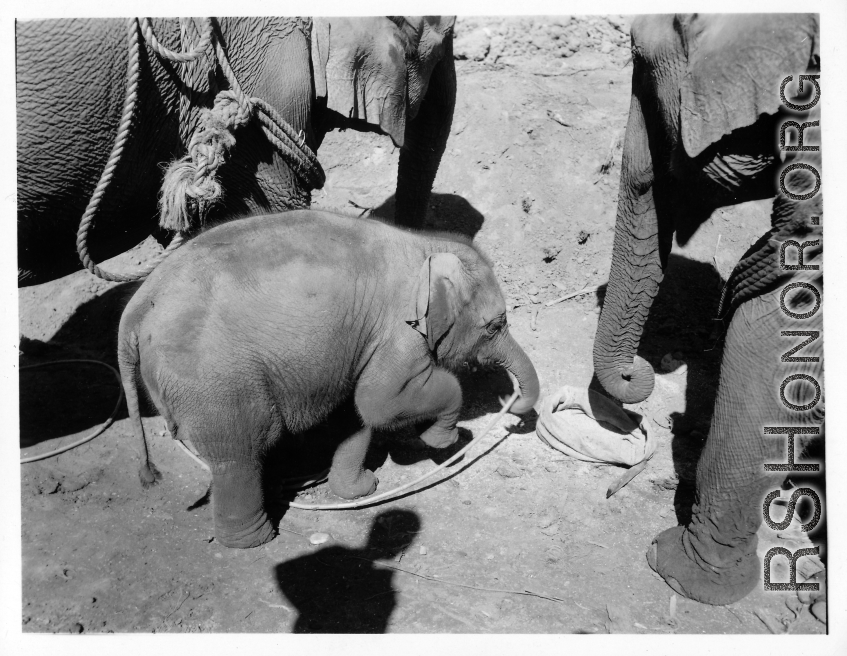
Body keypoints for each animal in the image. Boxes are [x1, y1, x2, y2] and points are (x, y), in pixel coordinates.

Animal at [118, 210, 540, 548]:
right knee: (240, 451)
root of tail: (135, 312)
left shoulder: (363, 340)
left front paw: (360, 489)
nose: (514, 409)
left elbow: (357, 411)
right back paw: (256, 539)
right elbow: (380, 401)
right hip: (214, 380)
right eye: (494, 326)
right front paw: (445, 441)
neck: (425, 245)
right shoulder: (397, 330)